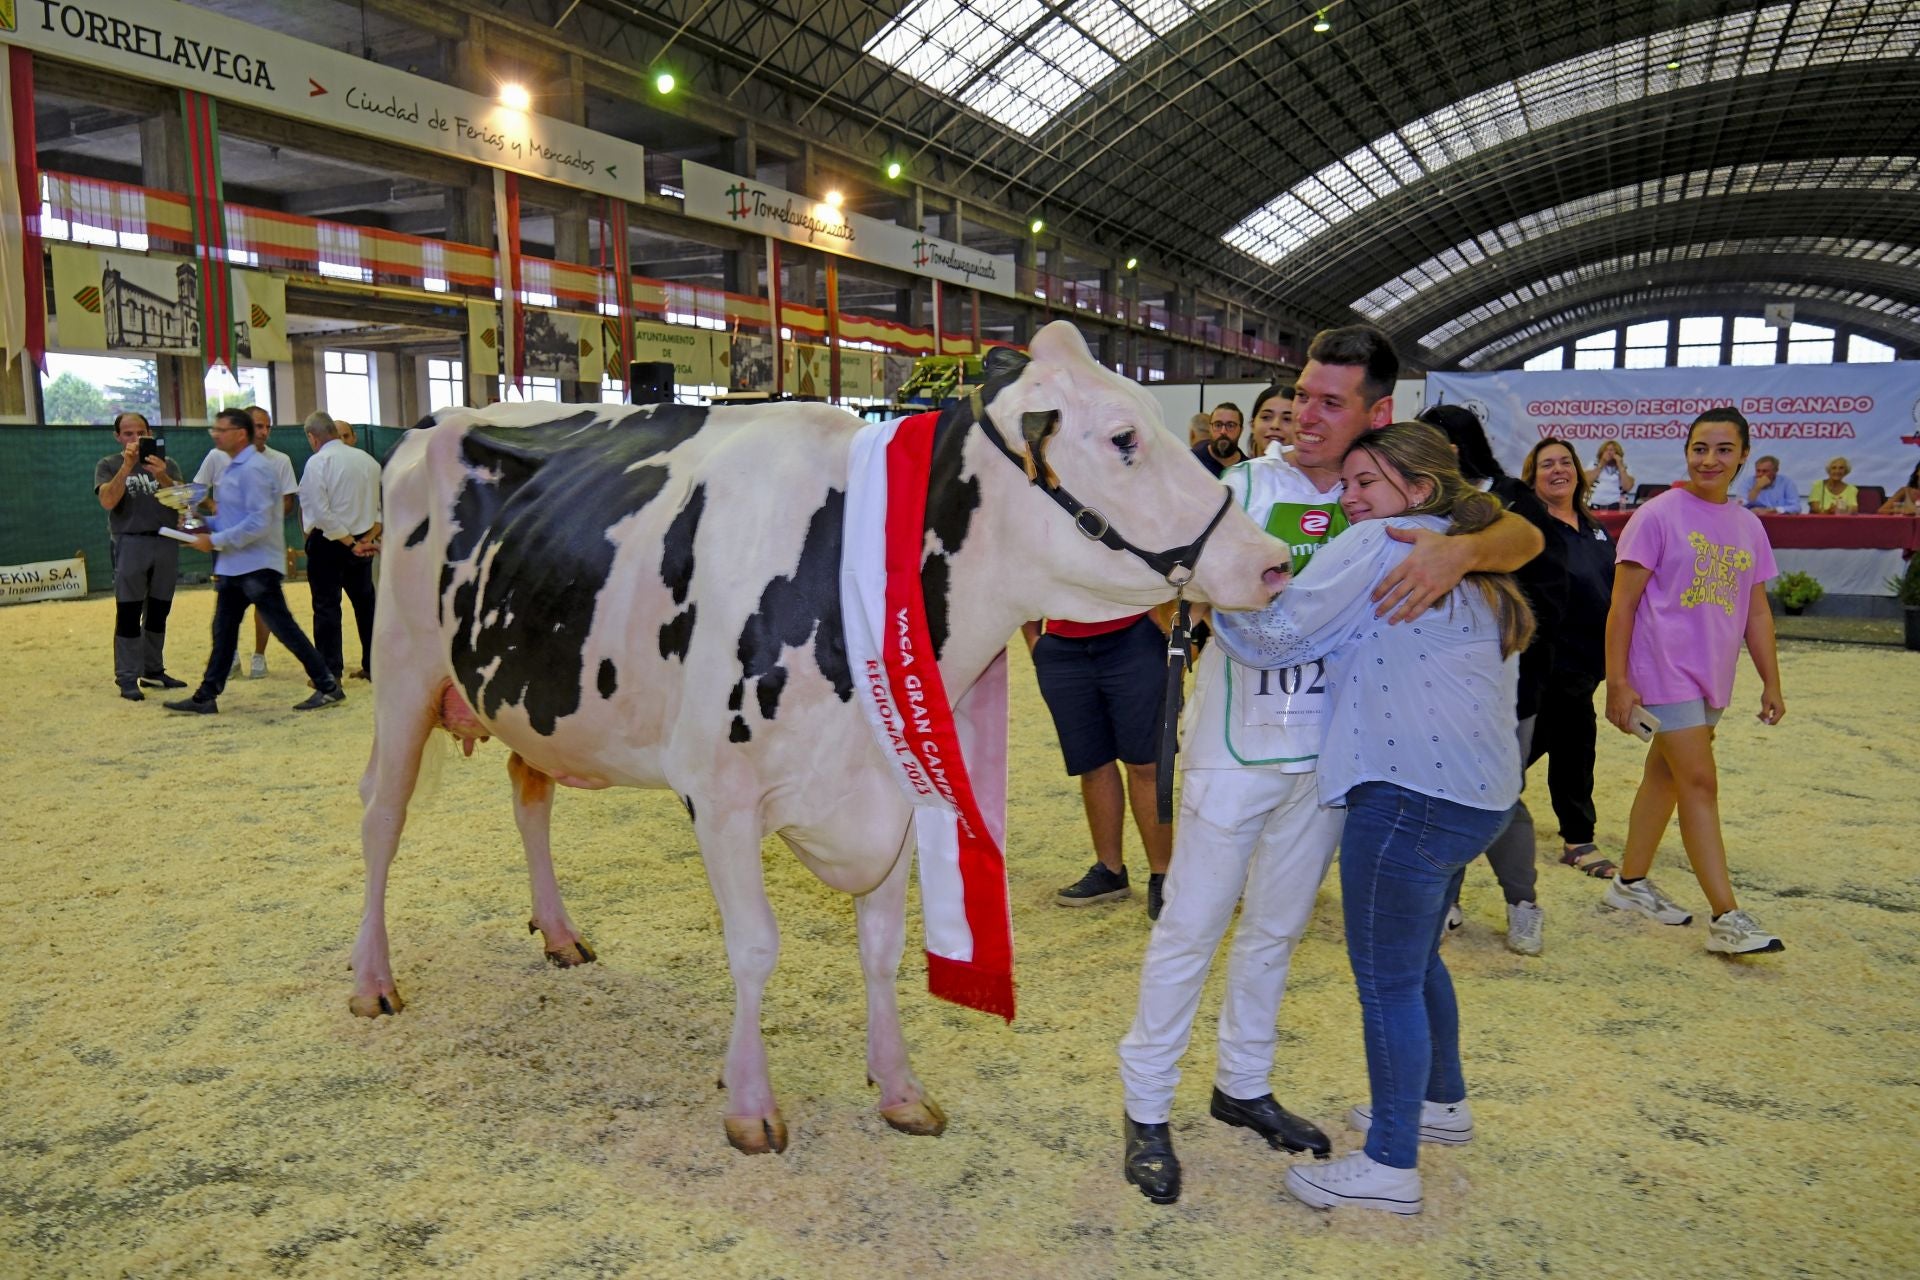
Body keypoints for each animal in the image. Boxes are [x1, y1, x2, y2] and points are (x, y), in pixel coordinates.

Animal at [360, 320, 1290, 1151]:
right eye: (1124, 437)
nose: (1275, 562)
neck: (839, 576)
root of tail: (436, 420)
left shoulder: (895, 787)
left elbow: (881, 949)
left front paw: (900, 1087)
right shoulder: (720, 795)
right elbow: (755, 948)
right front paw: (750, 1106)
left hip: (531, 701)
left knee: (529, 793)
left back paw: (557, 933)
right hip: (402, 673)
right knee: (382, 818)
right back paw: (372, 980)